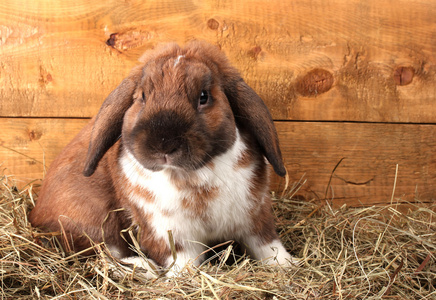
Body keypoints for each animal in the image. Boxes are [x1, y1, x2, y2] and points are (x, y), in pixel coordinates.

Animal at [29, 39, 298, 276]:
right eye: (142, 96)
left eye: (204, 96)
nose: (163, 144)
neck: (195, 175)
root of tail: (35, 214)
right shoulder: (168, 234)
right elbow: (184, 262)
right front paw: (185, 278)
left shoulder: (255, 218)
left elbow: (268, 246)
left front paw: (287, 265)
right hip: (94, 224)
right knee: (104, 254)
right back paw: (144, 269)